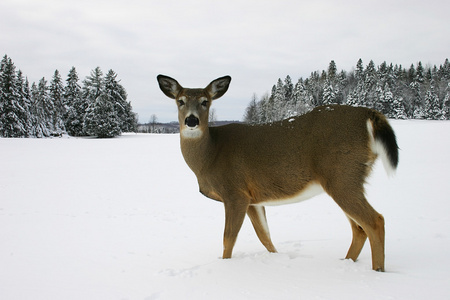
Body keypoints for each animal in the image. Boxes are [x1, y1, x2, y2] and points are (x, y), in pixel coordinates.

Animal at [157, 74, 398, 272]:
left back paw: (377, 271)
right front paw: (276, 258)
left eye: (205, 101)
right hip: (346, 179)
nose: (191, 120)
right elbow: (265, 236)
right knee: (359, 229)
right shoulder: (253, 199)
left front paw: (225, 266)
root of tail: (369, 115)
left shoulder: (235, 192)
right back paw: (346, 263)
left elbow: (228, 239)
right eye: (180, 101)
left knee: (375, 221)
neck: (210, 155)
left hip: (342, 174)